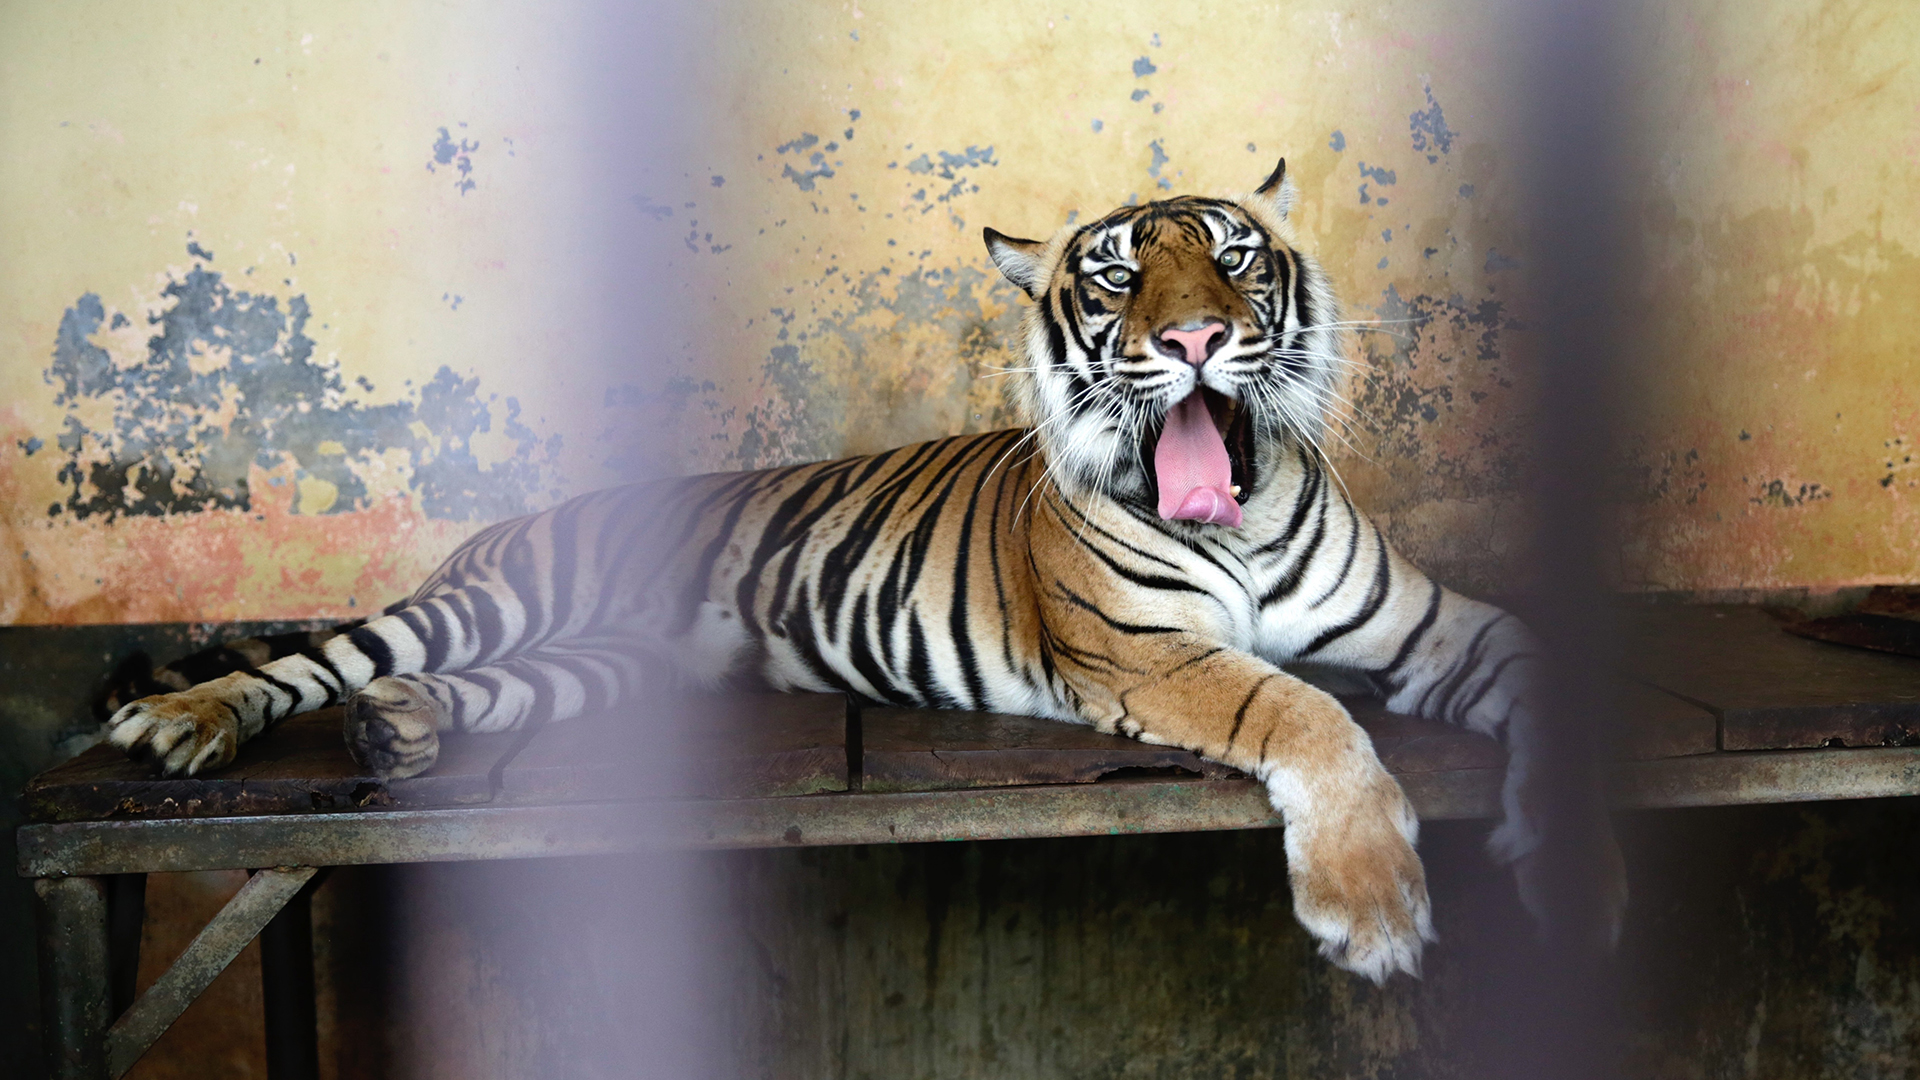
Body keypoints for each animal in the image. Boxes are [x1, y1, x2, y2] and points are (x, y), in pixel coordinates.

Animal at [105, 157, 1579, 982]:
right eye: (1115, 277)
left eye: (1229, 255)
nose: (1198, 338)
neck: (1246, 513)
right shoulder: (1152, 656)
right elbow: (1307, 713)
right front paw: (1373, 912)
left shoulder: (1431, 627)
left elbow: (1544, 680)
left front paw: (1574, 882)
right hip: (496, 597)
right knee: (324, 656)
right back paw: (186, 723)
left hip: (604, 663)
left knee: (474, 690)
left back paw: (400, 732)